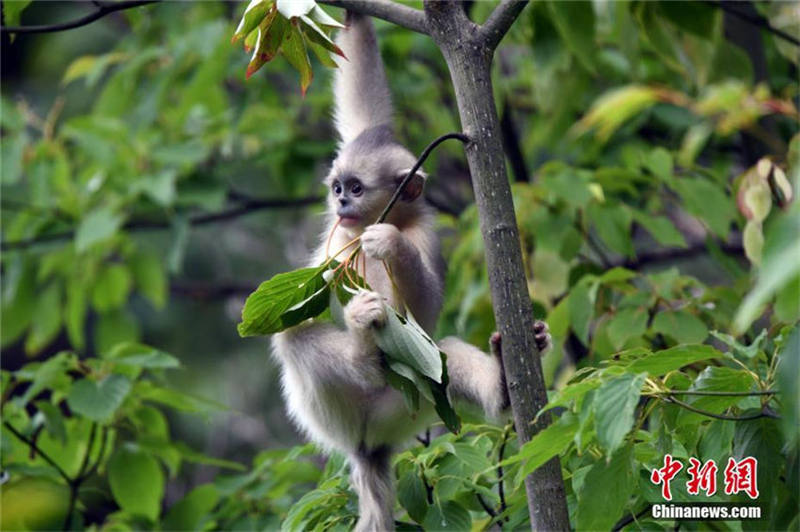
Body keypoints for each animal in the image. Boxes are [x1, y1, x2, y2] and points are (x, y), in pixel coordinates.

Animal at [270, 12, 552, 532]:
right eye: (338, 187)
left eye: (357, 189)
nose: (340, 204)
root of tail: (366, 448)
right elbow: (365, 109)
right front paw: (355, 16)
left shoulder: (425, 235)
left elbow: (421, 311)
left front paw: (390, 245)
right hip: (337, 413)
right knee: (292, 334)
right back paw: (362, 349)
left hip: (403, 406)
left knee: (439, 353)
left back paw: (502, 382)